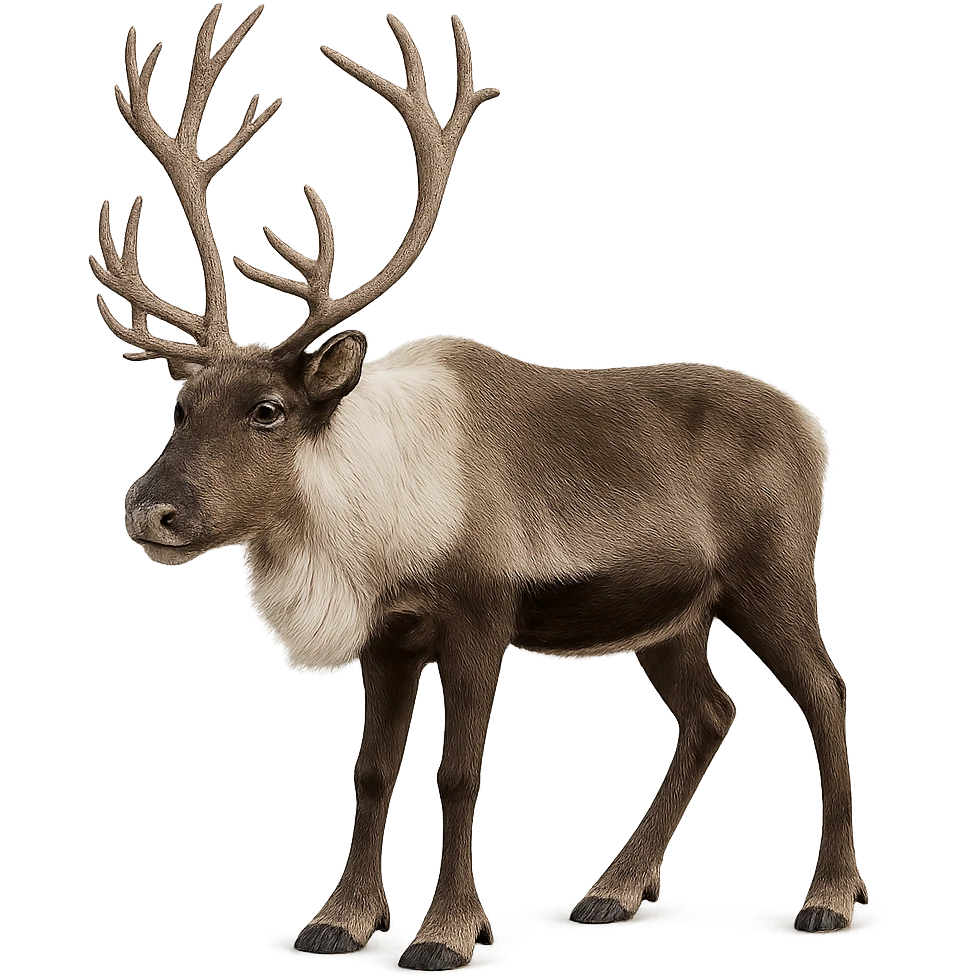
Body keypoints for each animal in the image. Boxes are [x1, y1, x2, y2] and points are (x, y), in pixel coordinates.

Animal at [90, 4, 868, 969]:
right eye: (179, 403)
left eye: (268, 410)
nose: (149, 511)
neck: (365, 525)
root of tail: (814, 427)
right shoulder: (389, 634)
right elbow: (370, 772)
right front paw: (340, 917)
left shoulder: (481, 610)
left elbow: (458, 773)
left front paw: (447, 930)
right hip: (671, 614)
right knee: (710, 713)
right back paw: (612, 888)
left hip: (770, 573)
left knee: (826, 691)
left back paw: (828, 897)